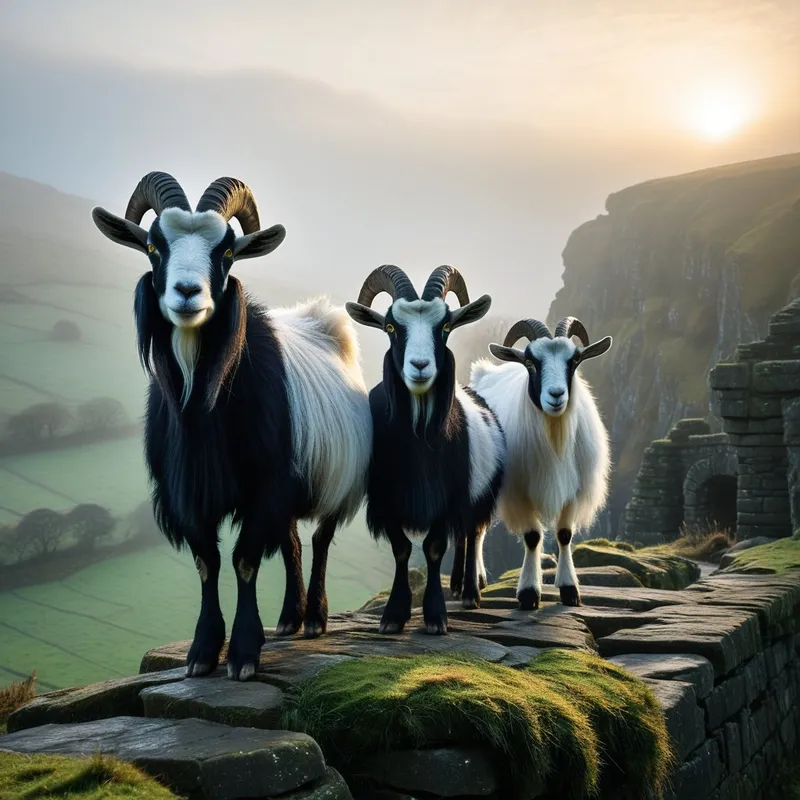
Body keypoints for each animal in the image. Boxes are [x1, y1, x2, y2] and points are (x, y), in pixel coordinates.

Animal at [92, 172, 371, 680]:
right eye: (153, 246)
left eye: (225, 252)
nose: (187, 293)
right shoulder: (186, 492)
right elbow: (208, 562)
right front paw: (203, 650)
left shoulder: (266, 485)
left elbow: (243, 562)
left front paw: (242, 652)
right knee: (293, 543)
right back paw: (289, 618)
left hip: (336, 481)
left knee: (319, 541)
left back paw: (315, 618)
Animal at [346, 265, 505, 634]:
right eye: (391, 327)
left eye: (444, 327)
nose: (420, 366)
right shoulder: (385, 499)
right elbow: (402, 549)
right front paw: (394, 614)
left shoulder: (448, 497)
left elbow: (433, 549)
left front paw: (434, 615)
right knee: (463, 537)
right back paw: (458, 586)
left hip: (479, 493)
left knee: (472, 533)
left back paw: (470, 592)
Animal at [470, 316, 612, 608]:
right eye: (530, 362)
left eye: (574, 360)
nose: (556, 395)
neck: (554, 434)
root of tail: (483, 373)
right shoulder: (518, 493)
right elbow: (533, 537)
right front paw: (528, 592)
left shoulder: (574, 490)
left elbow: (565, 534)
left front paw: (569, 590)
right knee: (475, 530)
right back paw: (475, 583)